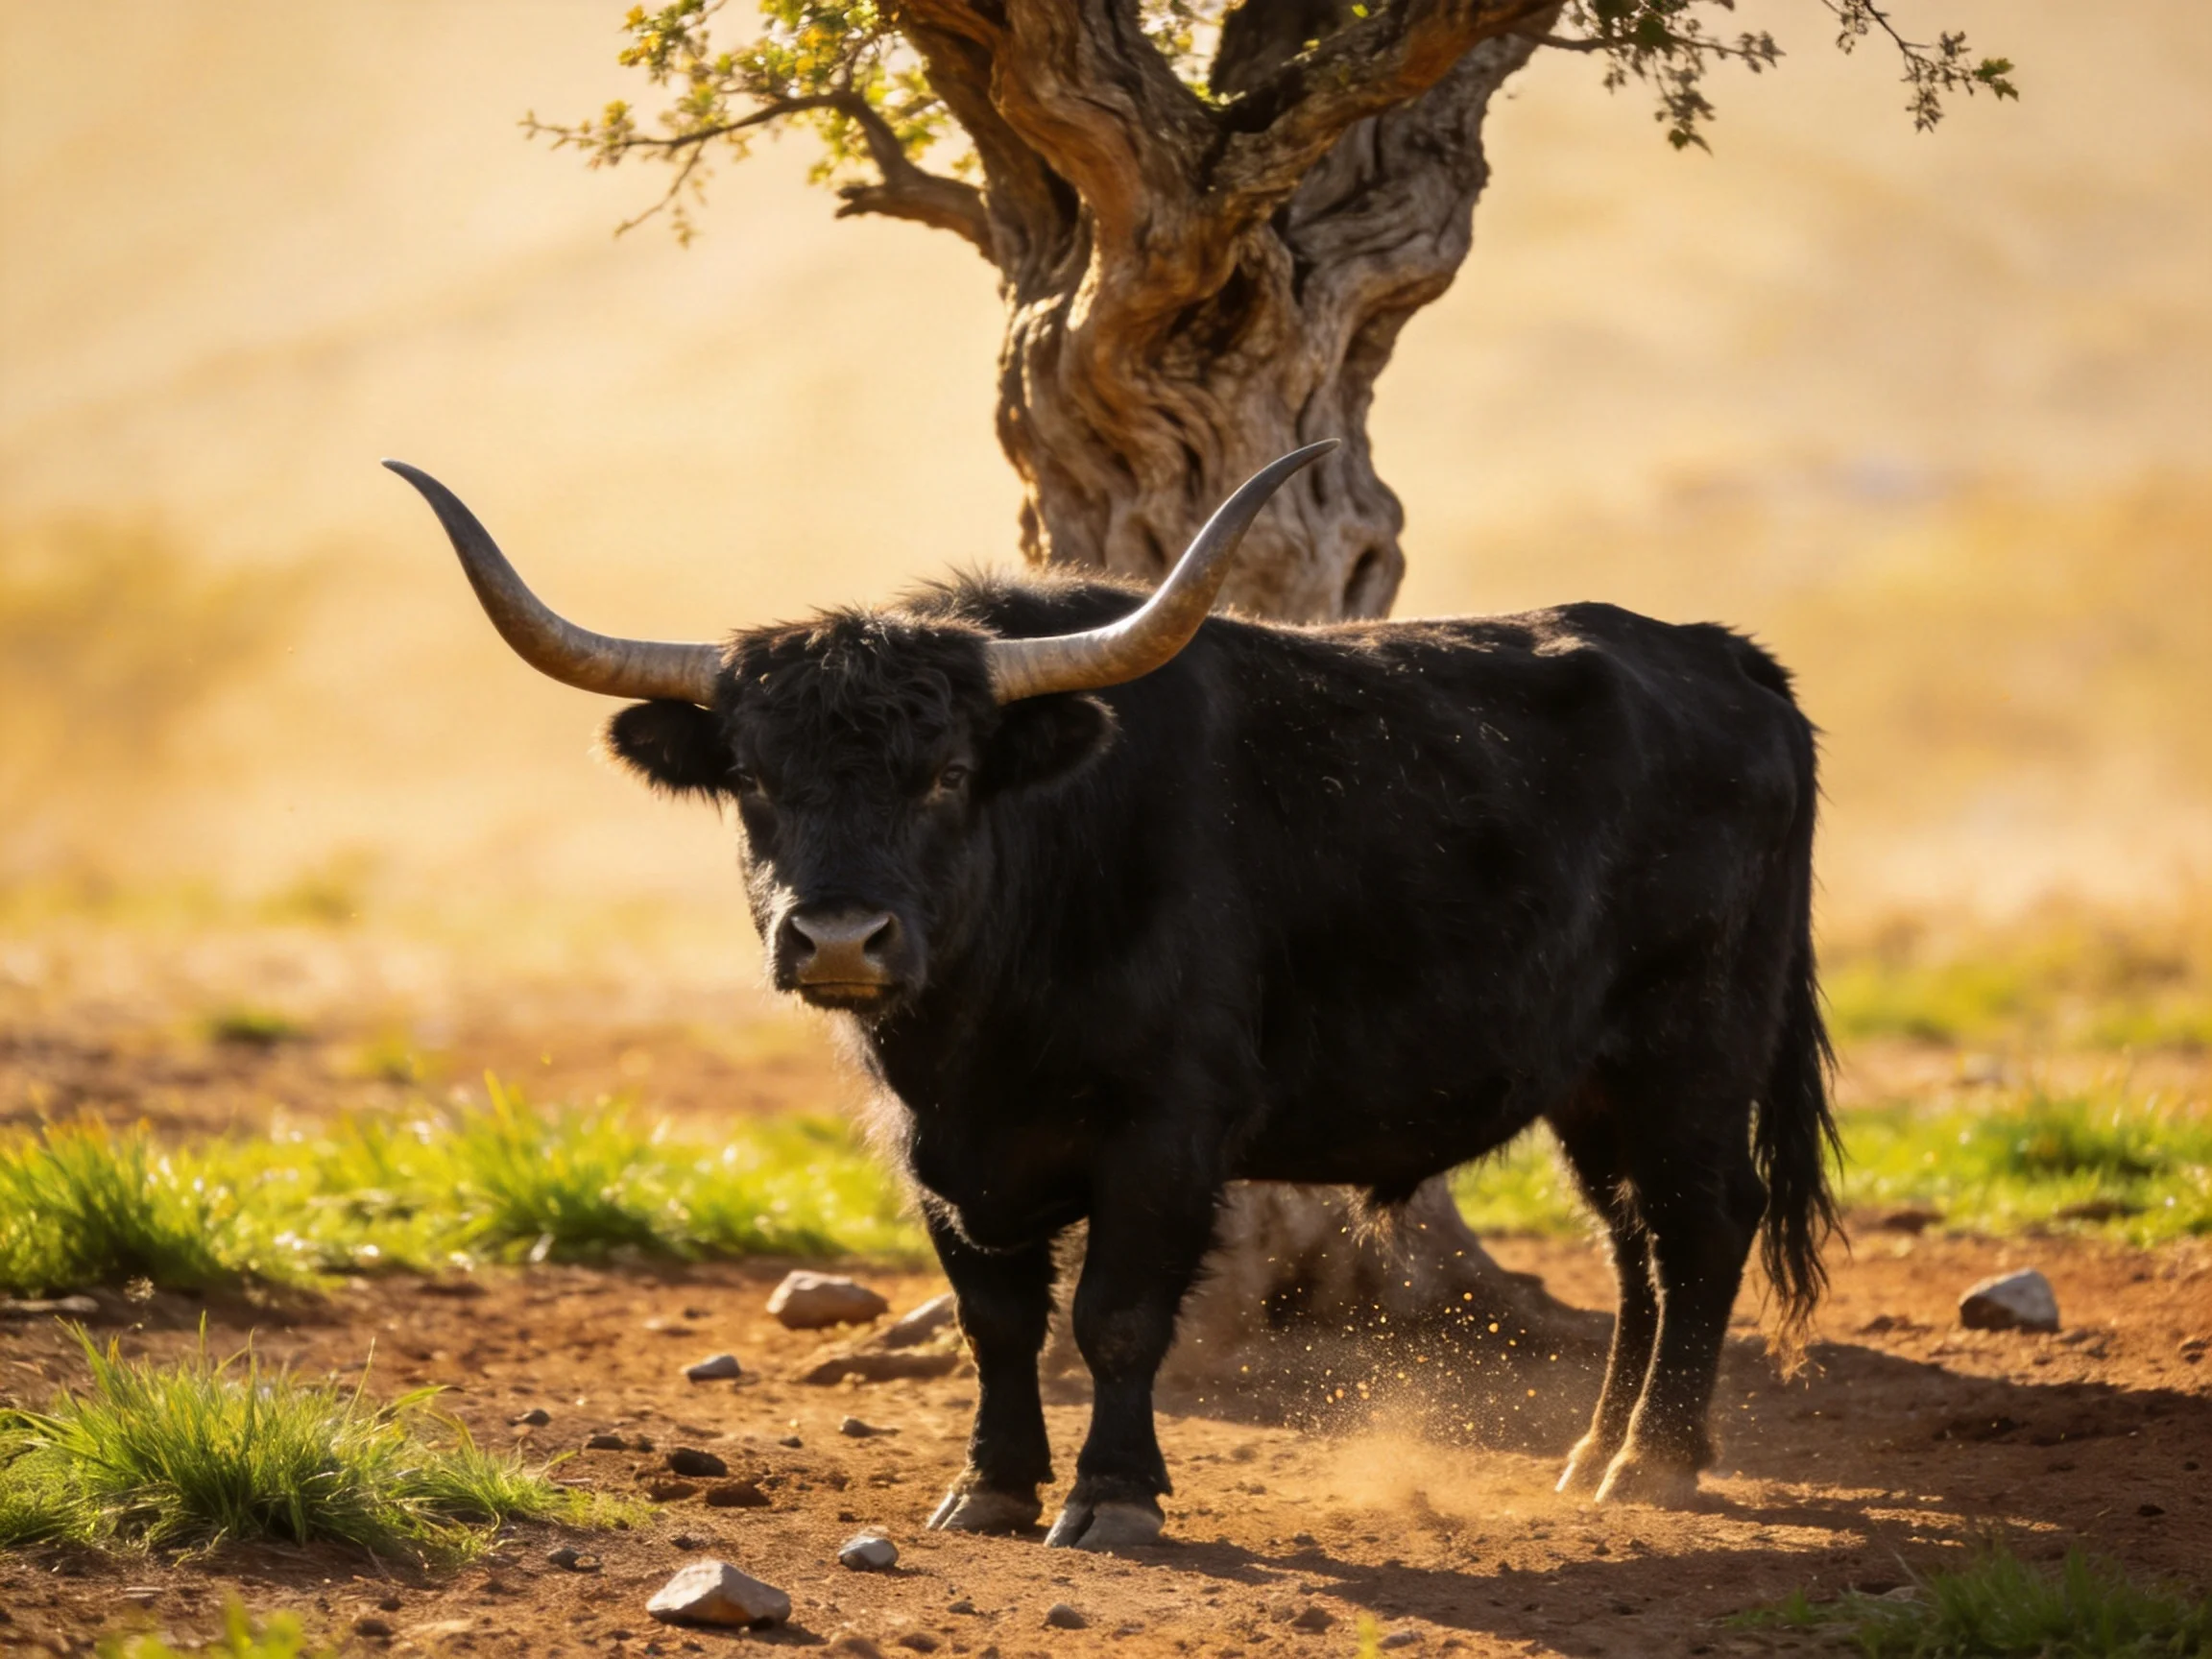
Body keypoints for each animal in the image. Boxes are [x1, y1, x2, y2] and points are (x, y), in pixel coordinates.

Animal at [385, 443, 1837, 1548]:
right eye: (753, 779)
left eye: (948, 774)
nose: (841, 936)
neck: (985, 1019)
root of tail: (1725, 659)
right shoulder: (942, 1157)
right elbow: (996, 1321)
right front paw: (988, 1487)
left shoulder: (1167, 1135)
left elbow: (1116, 1316)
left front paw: (1113, 1497)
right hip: (1592, 1084)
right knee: (1635, 1242)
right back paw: (1594, 1452)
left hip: (1691, 1051)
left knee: (1703, 1225)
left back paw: (1656, 1462)